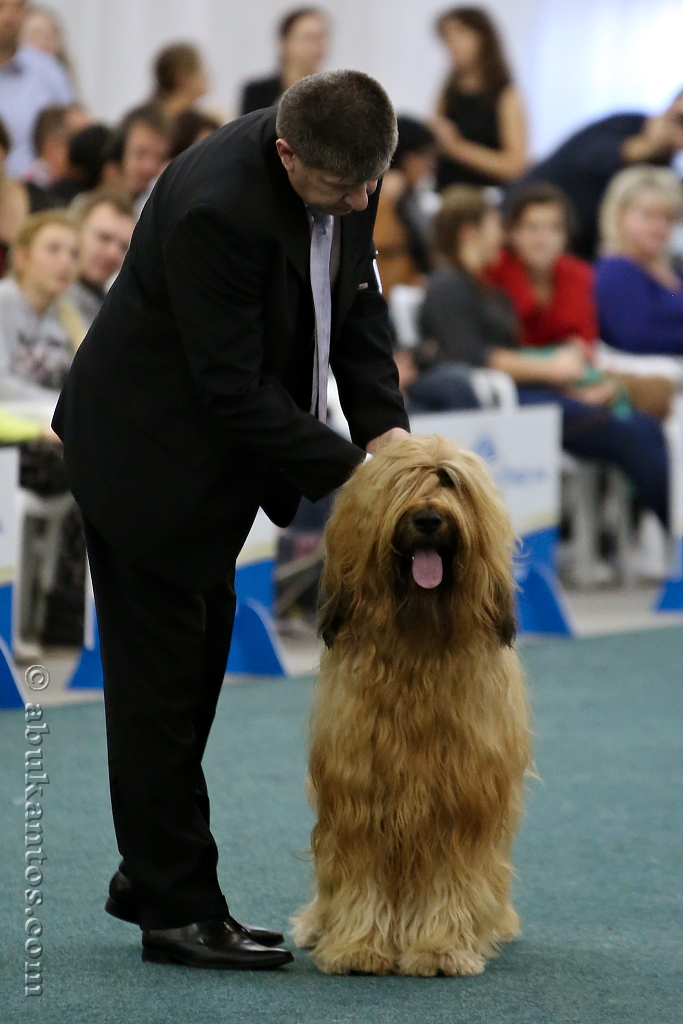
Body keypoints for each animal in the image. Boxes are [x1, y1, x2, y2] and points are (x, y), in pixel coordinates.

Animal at [290, 434, 533, 977]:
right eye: (402, 484)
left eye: (451, 482)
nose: (427, 518)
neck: (418, 642)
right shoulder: (359, 796)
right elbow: (362, 878)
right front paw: (359, 946)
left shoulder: (461, 799)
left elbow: (451, 879)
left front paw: (440, 947)